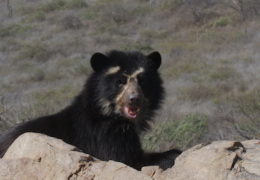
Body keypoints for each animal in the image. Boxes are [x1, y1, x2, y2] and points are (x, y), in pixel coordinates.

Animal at [0, 50, 181, 170]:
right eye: (120, 81)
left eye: (142, 80)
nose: (134, 99)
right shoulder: (103, 134)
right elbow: (126, 159)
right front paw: (172, 154)